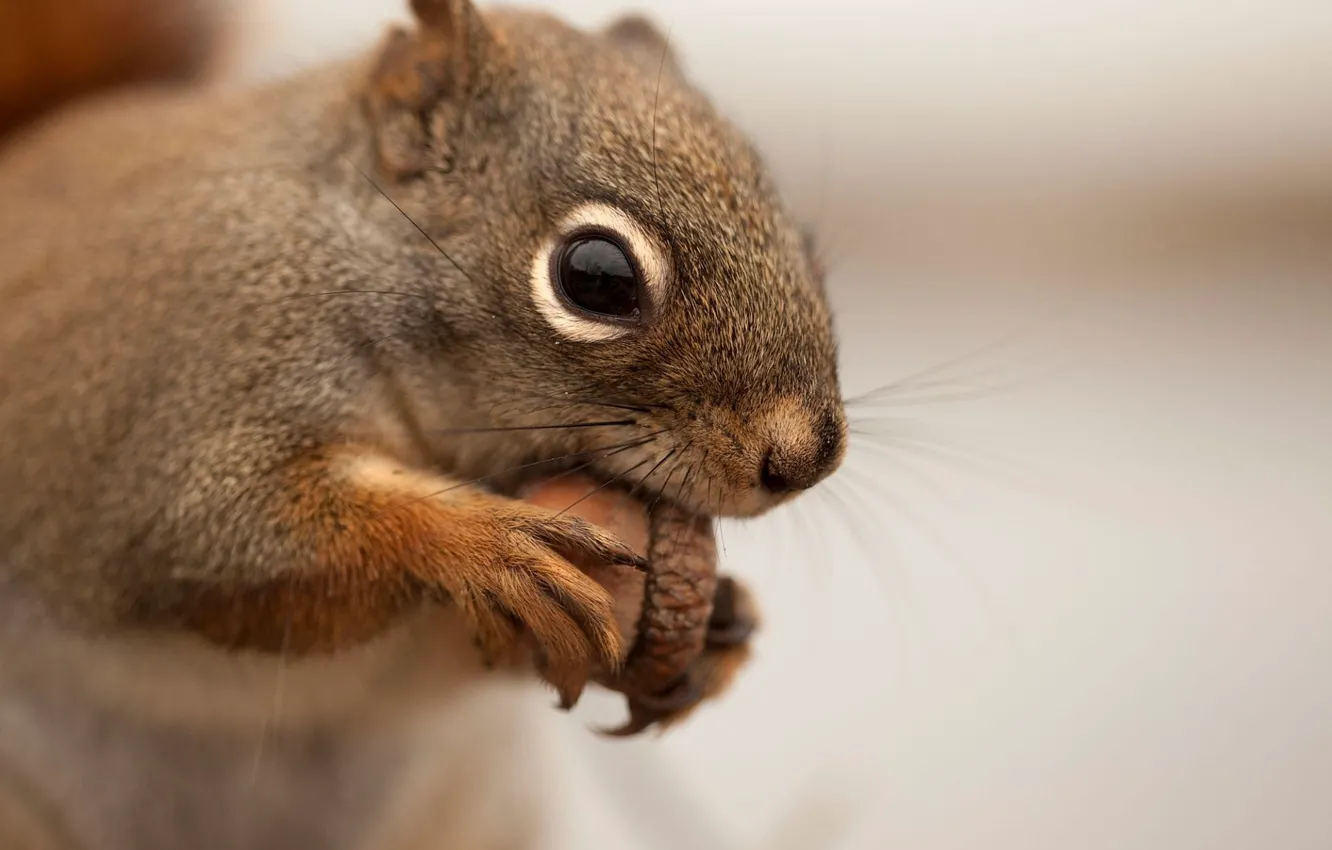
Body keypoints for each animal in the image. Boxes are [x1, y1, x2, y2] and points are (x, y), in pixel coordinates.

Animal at [0, 0, 847, 848]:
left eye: (805, 243)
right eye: (596, 277)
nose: (806, 459)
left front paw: (721, 626)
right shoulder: (188, 393)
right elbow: (223, 529)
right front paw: (481, 542)